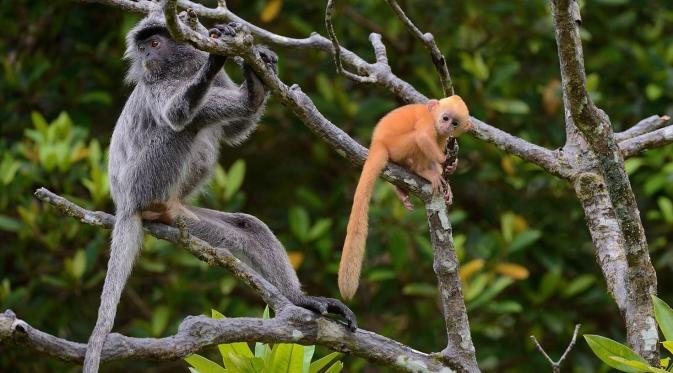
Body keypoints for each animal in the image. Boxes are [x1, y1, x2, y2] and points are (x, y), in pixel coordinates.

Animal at [82, 12, 356, 372]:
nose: (146, 56)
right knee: (186, 124)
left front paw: (255, 73)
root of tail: (125, 204)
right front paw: (219, 64)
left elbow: (234, 131)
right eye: (142, 48)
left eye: (153, 43)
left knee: (249, 227)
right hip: (142, 182)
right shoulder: (155, 84)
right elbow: (176, 114)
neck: (179, 68)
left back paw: (301, 300)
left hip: (185, 217)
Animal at [338, 95, 470, 300]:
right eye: (445, 118)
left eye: (455, 123)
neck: (433, 118)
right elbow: (423, 137)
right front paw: (444, 164)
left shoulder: (443, 136)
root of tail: (377, 142)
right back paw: (421, 171)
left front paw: (449, 175)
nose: (446, 126)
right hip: (397, 146)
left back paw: (402, 189)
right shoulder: (427, 122)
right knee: (416, 139)